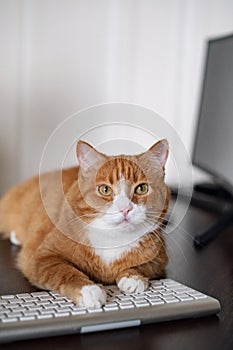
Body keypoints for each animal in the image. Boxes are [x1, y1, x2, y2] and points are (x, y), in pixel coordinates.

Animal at [0, 139, 171, 306]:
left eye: (142, 188)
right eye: (105, 190)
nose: (125, 209)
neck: (112, 238)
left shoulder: (159, 258)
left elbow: (141, 266)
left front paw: (133, 278)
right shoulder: (42, 257)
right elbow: (65, 271)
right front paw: (89, 290)